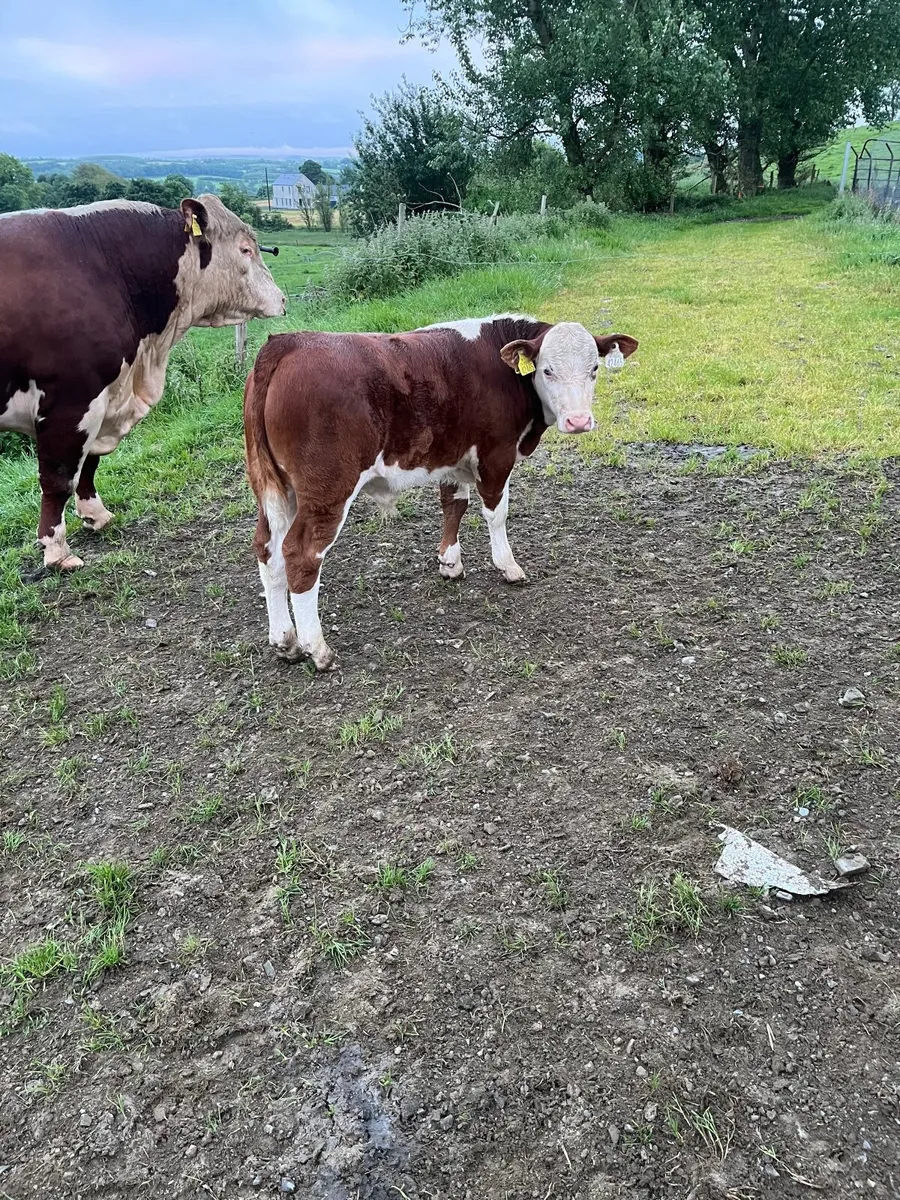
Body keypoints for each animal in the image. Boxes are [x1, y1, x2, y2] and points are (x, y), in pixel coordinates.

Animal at [0, 195, 285, 570]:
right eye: (245, 250)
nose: (282, 298)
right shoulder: (70, 402)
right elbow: (59, 478)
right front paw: (56, 550)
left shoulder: (103, 398)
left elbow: (89, 461)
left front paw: (96, 514)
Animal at [244, 313, 638, 670]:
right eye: (547, 370)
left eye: (594, 369)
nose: (579, 421)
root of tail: (286, 343)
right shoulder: (496, 454)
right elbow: (496, 511)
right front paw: (507, 565)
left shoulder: (454, 456)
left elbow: (454, 505)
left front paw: (450, 562)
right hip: (327, 491)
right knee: (301, 555)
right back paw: (317, 648)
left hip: (276, 490)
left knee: (268, 549)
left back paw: (286, 641)